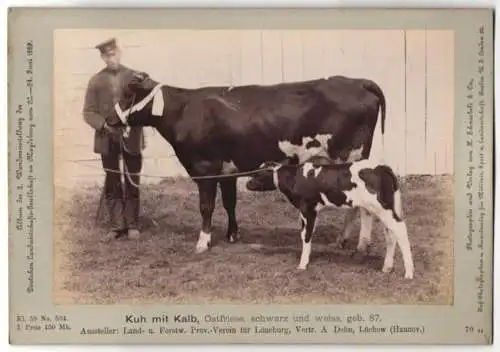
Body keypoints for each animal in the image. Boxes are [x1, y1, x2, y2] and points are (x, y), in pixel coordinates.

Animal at [110, 72, 386, 253]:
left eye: (128, 94)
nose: (109, 119)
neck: (184, 110)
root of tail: (357, 81)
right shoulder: (226, 170)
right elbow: (229, 203)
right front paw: (233, 234)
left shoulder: (204, 168)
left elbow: (206, 207)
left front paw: (203, 242)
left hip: (351, 158)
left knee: (361, 205)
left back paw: (357, 242)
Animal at [246, 158, 414, 280]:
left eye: (257, 175)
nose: (247, 184)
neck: (295, 178)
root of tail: (383, 167)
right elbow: (305, 232)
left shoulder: (308, 209)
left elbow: (306, 235)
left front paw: (302, 265)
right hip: (386, 209)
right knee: (390, 234)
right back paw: (387, 268)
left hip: (382, 208)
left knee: (400, 229)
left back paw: (409, 273)